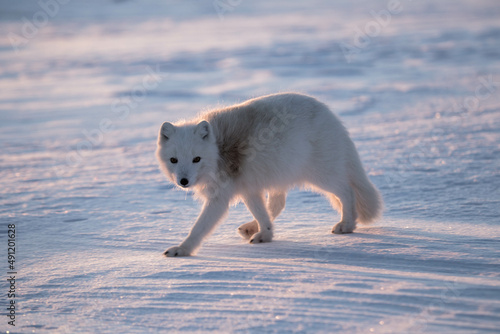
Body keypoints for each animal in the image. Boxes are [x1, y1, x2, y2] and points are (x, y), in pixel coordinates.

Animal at [156, 92, 382, 258]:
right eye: (174, 160)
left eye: (197, 159)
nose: (183, 181)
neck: (218, 151)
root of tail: (330, 114)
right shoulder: (247, 188)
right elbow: (261, 212)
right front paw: (266, 234)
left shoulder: (221, 196)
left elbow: (199, 227)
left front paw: (182, 249)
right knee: (277, 203)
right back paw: (251, 228)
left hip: (320, 175)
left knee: (346, 191)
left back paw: (347, 224)